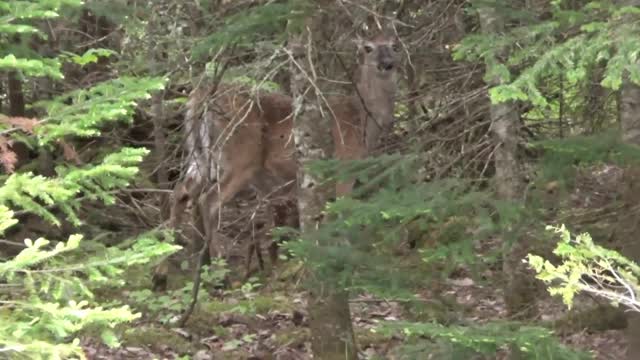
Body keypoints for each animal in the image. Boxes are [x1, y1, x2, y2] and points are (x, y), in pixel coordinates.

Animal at [152, 32, 400, 294]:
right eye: (368, 48)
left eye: (394, 46)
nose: (387, 63)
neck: (363, 123)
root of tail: (199, 99)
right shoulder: (344, 164)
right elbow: (340, 211)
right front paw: (342, 259)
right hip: (240, 156)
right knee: (207, 201)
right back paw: (221, 276)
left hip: (199, 154)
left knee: (180, 193)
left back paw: (166, 274)